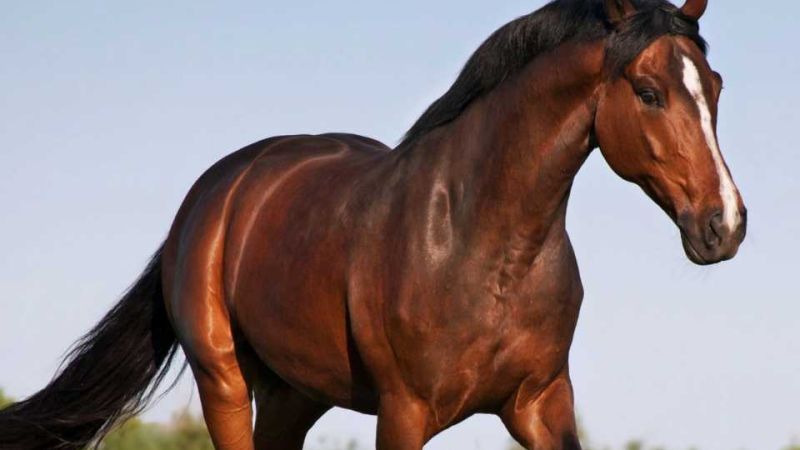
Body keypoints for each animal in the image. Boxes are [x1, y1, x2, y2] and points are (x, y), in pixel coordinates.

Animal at [0, 0, 746, 449]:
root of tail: (213, 195)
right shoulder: (405, 410)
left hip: (294, 395)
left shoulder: (541, 402)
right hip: (223, 380)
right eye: (648, 93)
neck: (481, 245)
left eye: (713, 86)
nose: (726, 225)